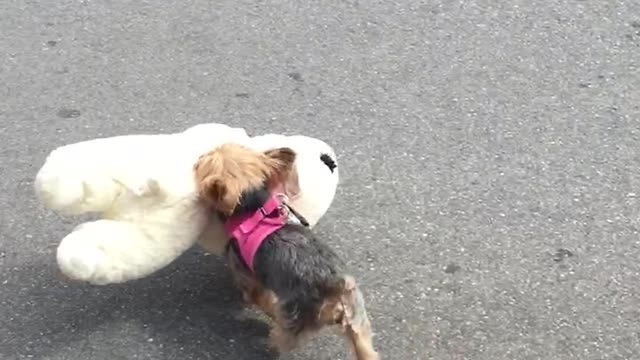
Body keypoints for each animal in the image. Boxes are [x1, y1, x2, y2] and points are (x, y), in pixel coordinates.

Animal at [192, 143, 378, 360]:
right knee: (365, 347)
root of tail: (335, 288)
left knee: (282, 337)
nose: (198, 156)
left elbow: (261, 300)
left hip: (296, 319)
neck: (251, 206)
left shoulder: (250, 278)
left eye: (202, 161)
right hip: (357, 316)